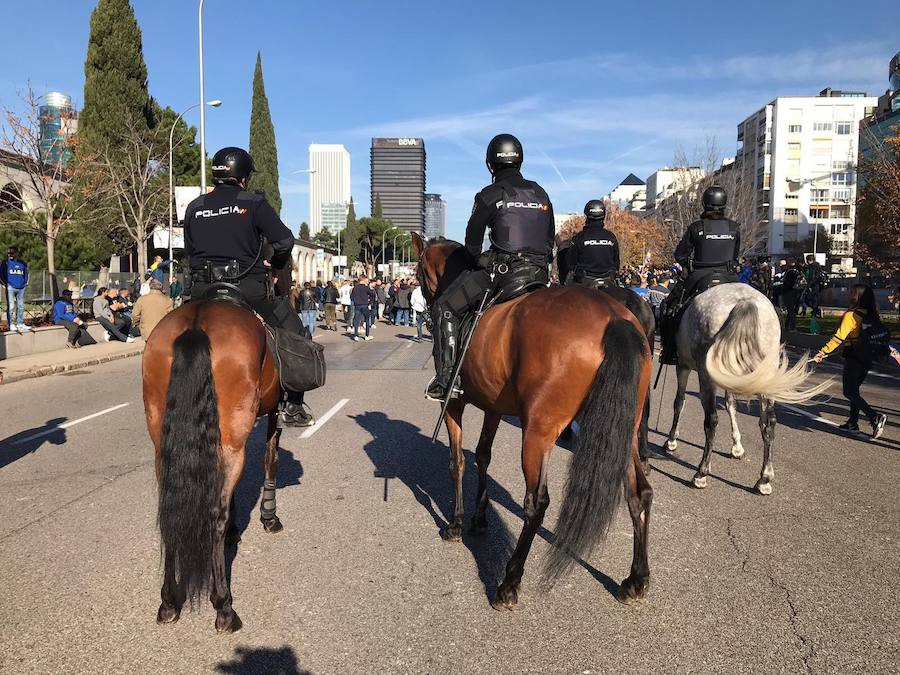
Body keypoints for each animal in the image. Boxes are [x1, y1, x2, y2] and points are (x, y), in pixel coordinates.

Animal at [143, 302, 284, 632]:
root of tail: (197, 323)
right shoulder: (272, 410)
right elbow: (270, 459)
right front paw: (269, 517)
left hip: (162, 443)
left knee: (169, 512)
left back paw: (169, 601)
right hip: (233, 439)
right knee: (214, 514)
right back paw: (224, 606)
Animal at [414, 235, 652, 608]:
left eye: (419, 272)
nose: (425, 306)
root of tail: (615, 317)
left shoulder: (455, 403)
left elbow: (457, 461)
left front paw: (456, 523)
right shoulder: (494, 407)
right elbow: (483, 455)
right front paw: (479, 519)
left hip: (539, 432)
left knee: (536, 503)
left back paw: (509, 582)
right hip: (622, 430)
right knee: (639, 493)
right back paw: (636, 579)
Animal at [660, 282, 828, 494]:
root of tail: (744, 301)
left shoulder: (683, 366)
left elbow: (679, 403)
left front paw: (671, 440)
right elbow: (731, 406)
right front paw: (737, 446)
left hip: (706, 374)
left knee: (712, 419)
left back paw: (701, 473)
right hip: (764, 375)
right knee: (769, 422)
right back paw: (764, 478)